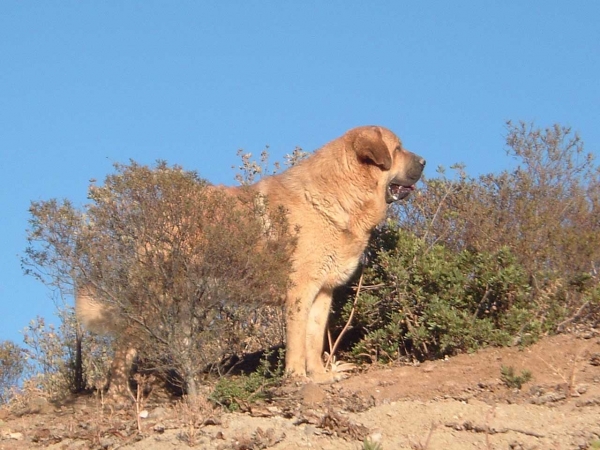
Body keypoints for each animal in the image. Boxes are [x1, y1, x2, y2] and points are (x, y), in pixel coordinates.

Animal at [76, 125, 426, 386]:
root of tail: (153, 213)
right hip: (155, 297)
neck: (342, 195)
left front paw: (319, 376)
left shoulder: (323, 293)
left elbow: (314, 340)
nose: (424, 161)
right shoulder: (299, 292)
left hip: (184, 303)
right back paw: (119, 395)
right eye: (397, 149)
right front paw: (296, 377)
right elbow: (297, 339)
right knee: (125, 346)